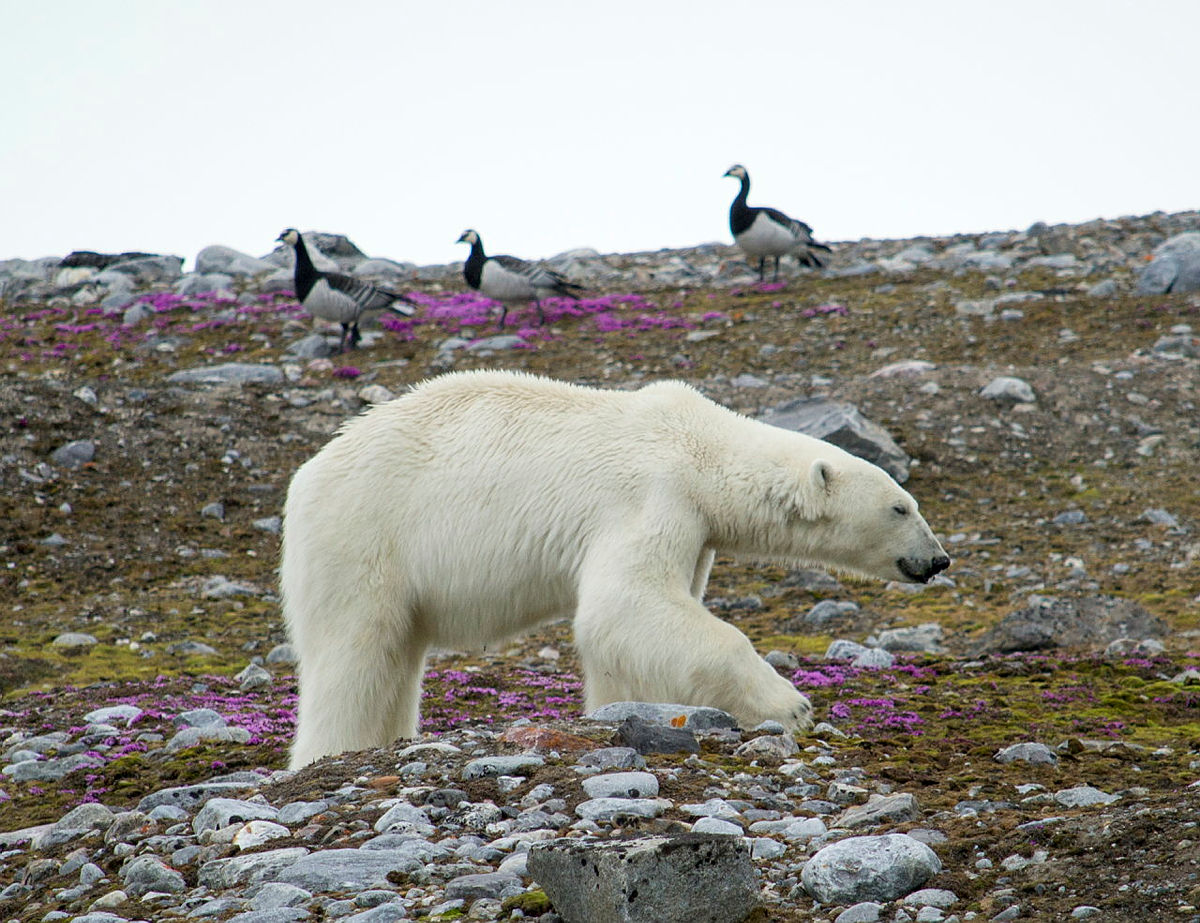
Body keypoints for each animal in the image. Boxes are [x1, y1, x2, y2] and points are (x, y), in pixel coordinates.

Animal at [278, 367, 945, 763]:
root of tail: (307, 476)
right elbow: (626, 604)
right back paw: (328, 751)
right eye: (901, 505)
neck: (698, 448)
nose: (936, 560)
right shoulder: (650, 496)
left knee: (399, 656)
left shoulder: (697, 529)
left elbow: (637, 632)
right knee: (354, 654)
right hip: (363, 537)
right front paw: (791, 706)